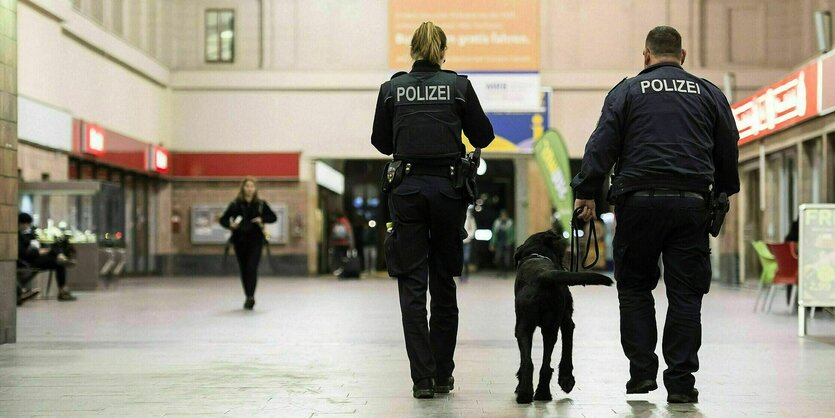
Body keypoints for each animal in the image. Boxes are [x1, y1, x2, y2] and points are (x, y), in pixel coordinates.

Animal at [512, 227, 612, 404]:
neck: (538, 254)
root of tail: (543, 276)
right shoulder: (567, 322)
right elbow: (567, 346)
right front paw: (567, 380)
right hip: (545, 327)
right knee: (540, 364)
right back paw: (539, 393)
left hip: (527, 327)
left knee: (530, 363)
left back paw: (529, 394)